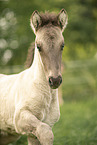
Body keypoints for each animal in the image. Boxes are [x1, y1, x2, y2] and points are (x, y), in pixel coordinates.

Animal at [0, 9, 67, 145]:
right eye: (38, 46)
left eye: (62, 45)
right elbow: (46, 133)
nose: (55, 80)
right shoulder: (20, 118)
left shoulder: (34, 133)